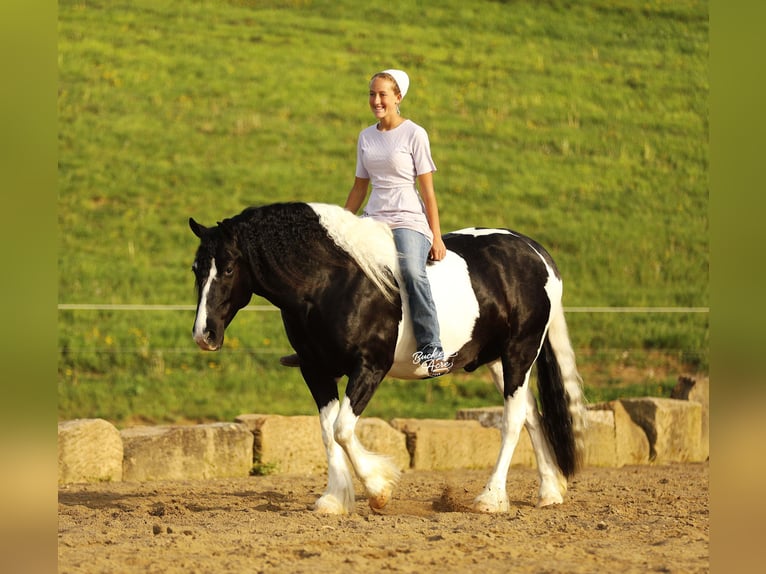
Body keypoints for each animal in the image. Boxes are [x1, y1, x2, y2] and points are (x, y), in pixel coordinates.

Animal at [189, 201, 586, 514]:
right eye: (196, 269)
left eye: (227, 268)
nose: (203, 335)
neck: (331, 281)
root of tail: (534, 251)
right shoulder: (316, 372)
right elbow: (327, 433)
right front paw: (334, 499)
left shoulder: (370, 368)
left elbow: (343, 429)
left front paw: (378, 489)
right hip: (498, 360)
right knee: (531, 414)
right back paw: (549, 491)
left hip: (520, 350)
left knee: (513, 419)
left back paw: (490, 498)